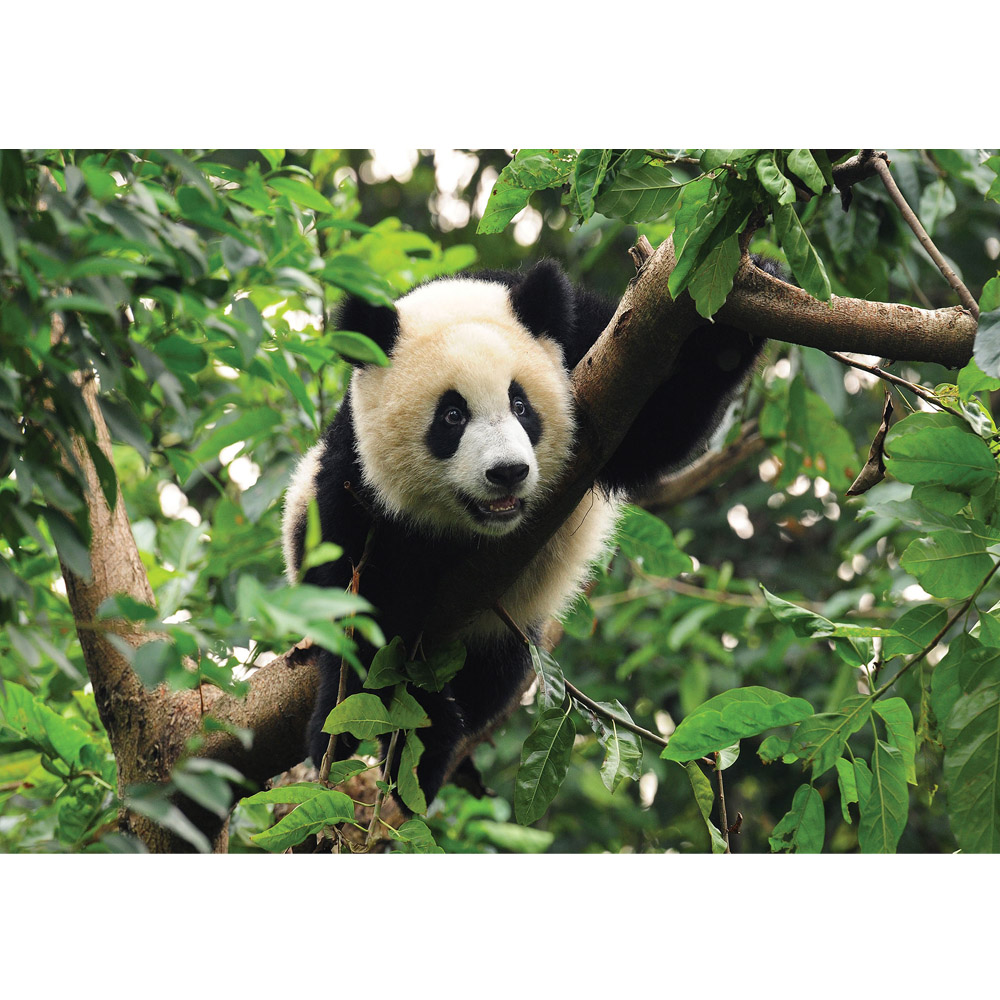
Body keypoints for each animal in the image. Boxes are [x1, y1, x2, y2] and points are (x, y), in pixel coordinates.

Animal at [282, 257, 769, 808]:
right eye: (452, 415)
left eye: (521, 405)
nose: (508, 472)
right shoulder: (355, 477)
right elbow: (361, 603)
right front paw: (393, 726)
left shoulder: (592, 348)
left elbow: (655, 428)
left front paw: (745, 305)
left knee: (493, 678)